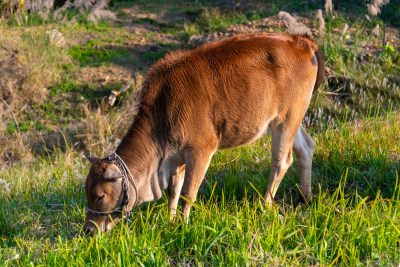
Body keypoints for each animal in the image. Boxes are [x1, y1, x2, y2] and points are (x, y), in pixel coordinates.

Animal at [83, 33, 324, 234]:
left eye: (100, 195)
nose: (89, 230)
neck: (163, 108)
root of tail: (303, 41)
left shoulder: (201, 151)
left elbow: (187, 193)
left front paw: (183, 225)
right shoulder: (175, 159)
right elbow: (174, 191)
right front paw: (170, 221)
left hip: (285, 121)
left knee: (282, 161)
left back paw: (264, 205)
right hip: (290, 121)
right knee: (305, 148)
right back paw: (305, 197)